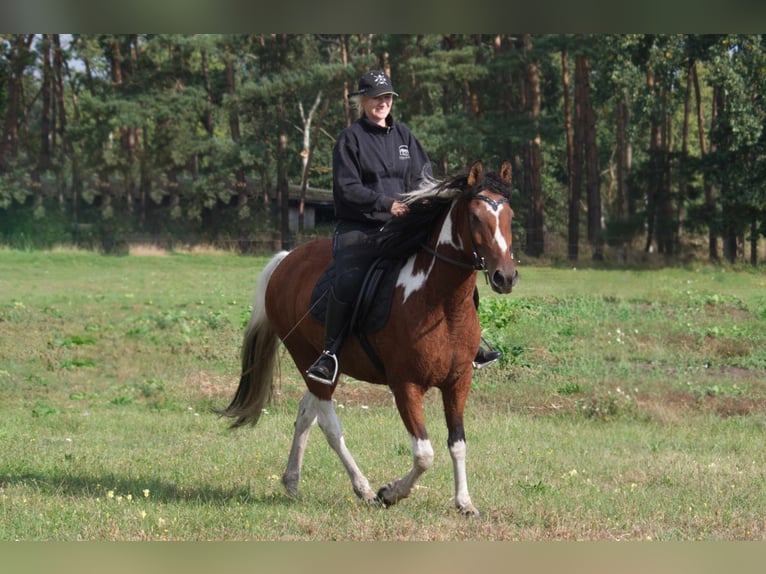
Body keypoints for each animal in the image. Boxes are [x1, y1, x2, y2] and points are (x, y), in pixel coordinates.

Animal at [222, 161, 520, 516]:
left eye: (510, 216)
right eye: (475, 216)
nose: (505, 277)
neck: (440, 303)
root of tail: (286, 260)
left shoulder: (458, 382)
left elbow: (457, 444)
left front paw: (464, 503)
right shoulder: (406, 386)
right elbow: (424, 454)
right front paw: (389, 492)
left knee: (307, 412)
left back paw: (291, 481)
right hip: (307, 357)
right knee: (329, 424)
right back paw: (362, 488)